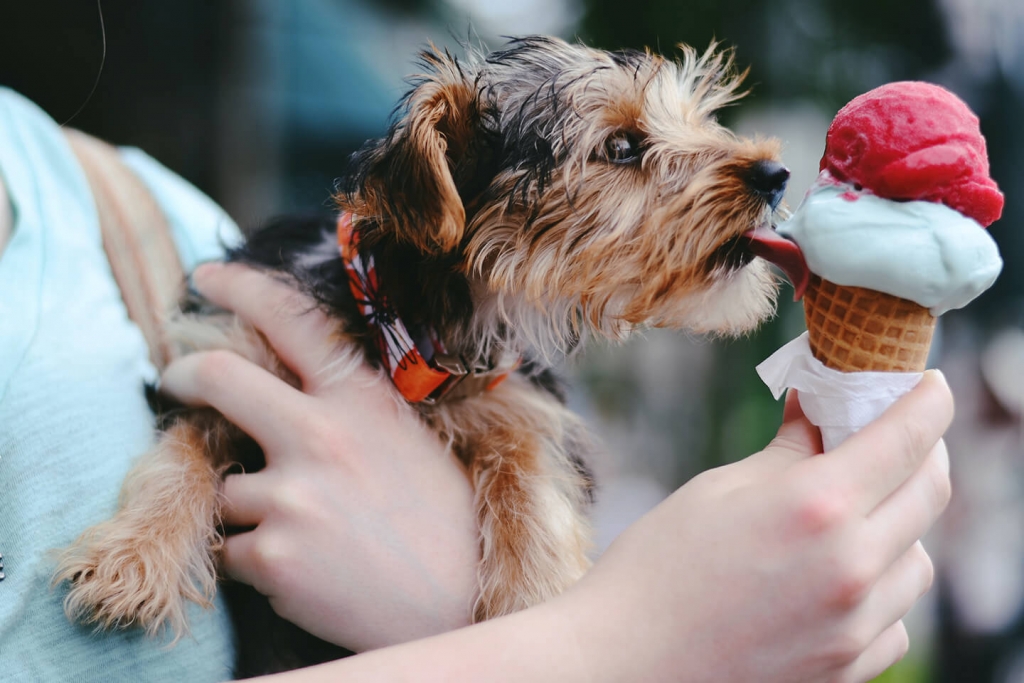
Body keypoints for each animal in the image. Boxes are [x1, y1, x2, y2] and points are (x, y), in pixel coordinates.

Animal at [54, 34, 790, 671]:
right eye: (622, 145)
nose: (776, 174)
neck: (409, 321)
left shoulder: (518, 396)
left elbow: (529, 471)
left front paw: (533, 595)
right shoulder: (225, 355)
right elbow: (181, 449)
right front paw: (133, 556)